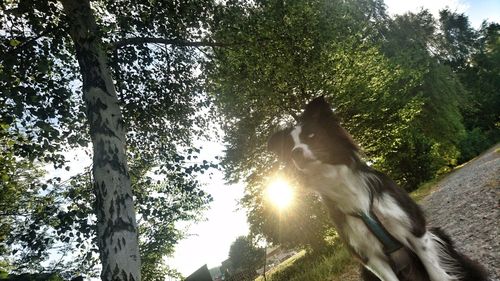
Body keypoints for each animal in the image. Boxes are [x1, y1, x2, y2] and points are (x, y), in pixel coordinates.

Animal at [268, 97, 486, 280]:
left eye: (312, 136)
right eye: (289, 148)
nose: (295, 153)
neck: (340, 183)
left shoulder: (415, 229)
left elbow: (437, 274)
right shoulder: (370, 257)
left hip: (439, 234)